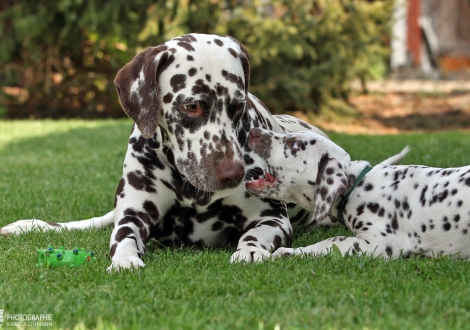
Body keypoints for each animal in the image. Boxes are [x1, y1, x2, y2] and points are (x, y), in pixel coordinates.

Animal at [0, 33, 404, 270]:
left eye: (238, 105)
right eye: (192, 105)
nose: (233, 174)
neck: (189, 188)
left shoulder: (272, 220)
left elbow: (256, 235)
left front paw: (250, 250)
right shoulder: (132, 215)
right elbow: (122, 236)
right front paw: (126, 259)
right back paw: (27, 225)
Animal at [246, 127, 470, 260]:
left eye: (294, 145)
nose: (253, 130)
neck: (358, 185)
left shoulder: (381, 244)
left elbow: (332, 241)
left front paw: (289, 252)